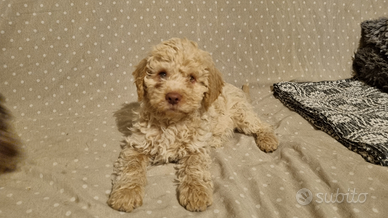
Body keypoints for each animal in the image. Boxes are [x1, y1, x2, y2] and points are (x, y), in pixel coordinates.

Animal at [107, 38, 278, 212]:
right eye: (162, 74)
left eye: (192, 78)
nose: (173, 97)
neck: (171, 122)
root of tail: (239, 90)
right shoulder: (137, 145)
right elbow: (131, 167)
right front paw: (126, 193)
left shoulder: (196, 147)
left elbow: (194, 168)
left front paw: (196, 193)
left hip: (243, 114)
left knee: (262, 125)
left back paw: (268, 140)